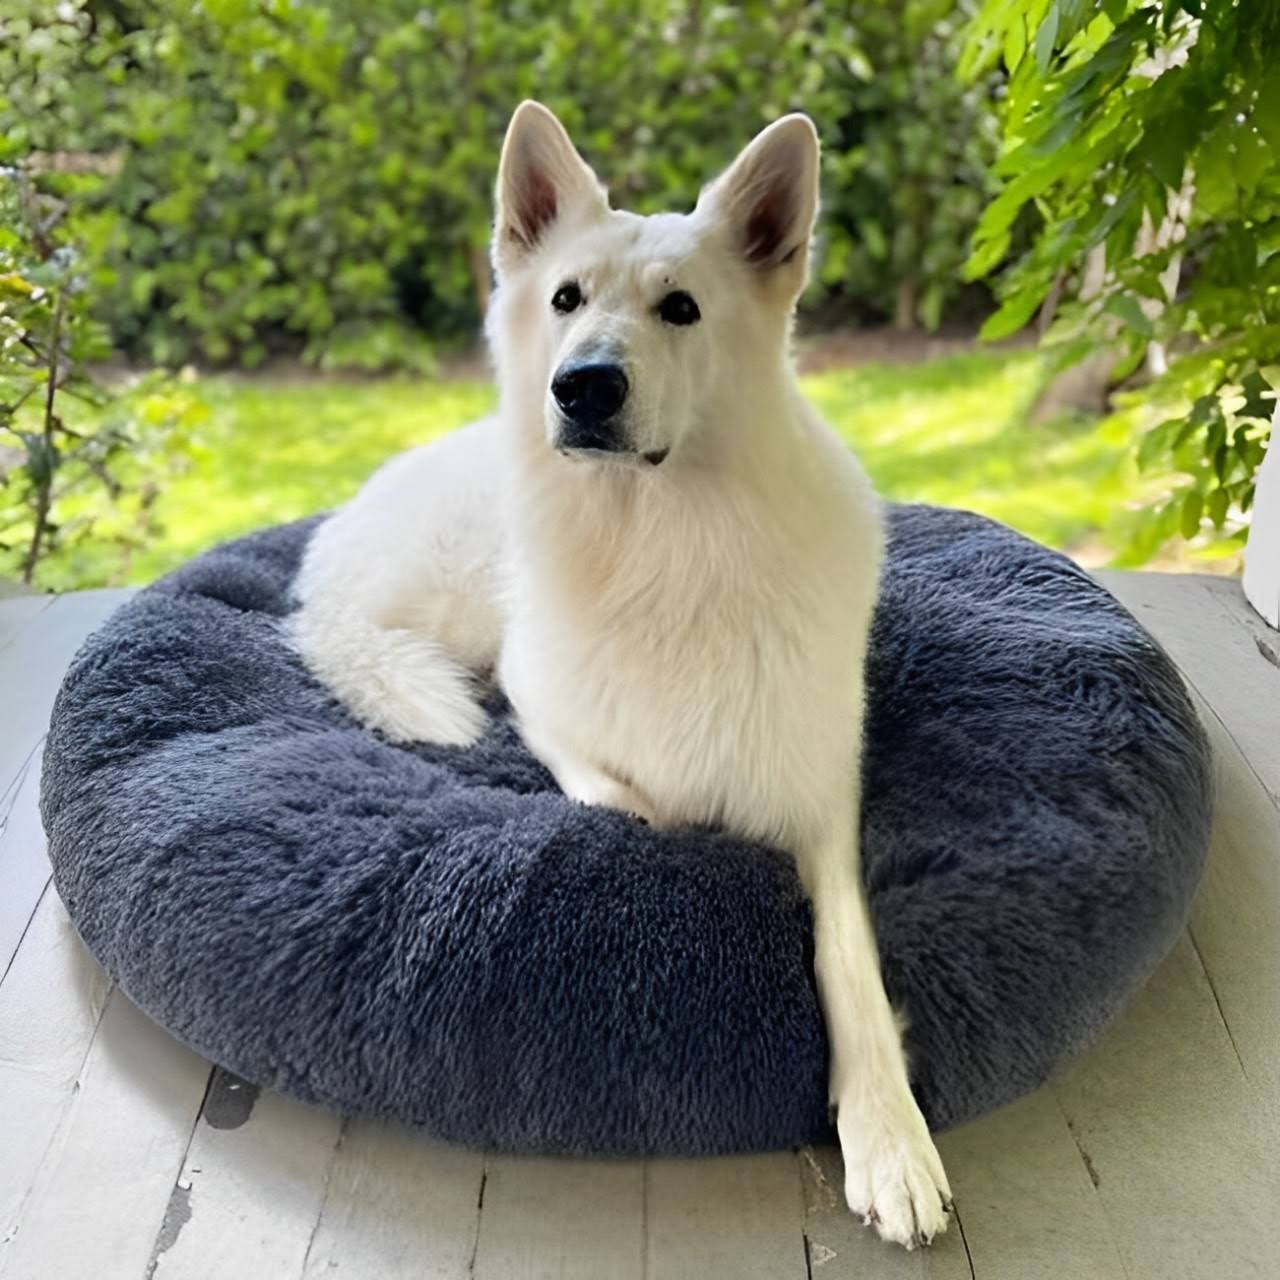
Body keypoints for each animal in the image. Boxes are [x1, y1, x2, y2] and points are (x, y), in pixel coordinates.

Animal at [290, 102, 952, 1249]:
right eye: (565, 299)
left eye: (679, 308)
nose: (583, 386)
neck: (662, 551)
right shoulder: (537, 701)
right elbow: (631, 805)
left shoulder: (821, 798)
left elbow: (849, 963)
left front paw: (888, 1136)